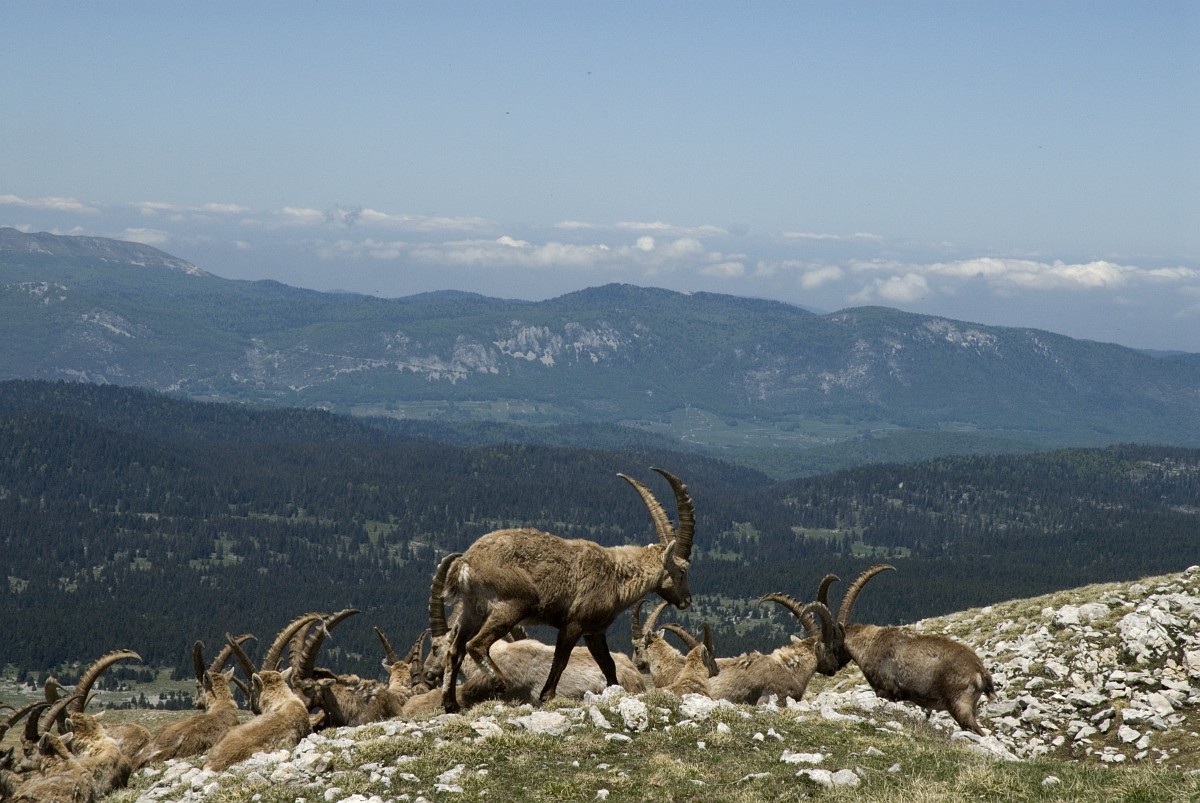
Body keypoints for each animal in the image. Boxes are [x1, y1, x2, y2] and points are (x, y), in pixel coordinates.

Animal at [440, 467, 695, 712]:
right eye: (683, 571)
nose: (687, 600)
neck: (616, 576)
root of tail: (466, 562)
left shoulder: (594, 632)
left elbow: (608, 665)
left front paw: (614, 692)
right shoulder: (573, 624)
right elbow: (560, 660)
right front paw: (546, 696)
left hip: (472, 609)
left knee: (454, 651)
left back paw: (450, 704)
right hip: (512, 604)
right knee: (476, 644)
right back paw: (499, 682)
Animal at [829, 564, 996, 735]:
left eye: (833, 639)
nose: (833, 665)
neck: (869, 644)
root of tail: (980, 672)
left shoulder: (887, 691)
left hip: (959, 704)